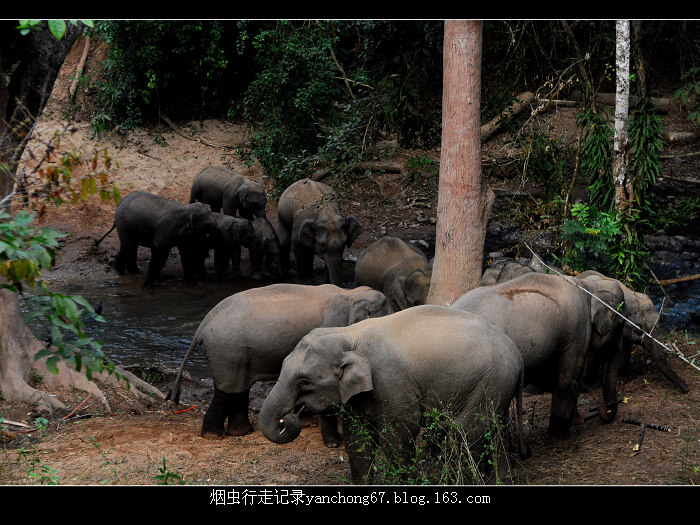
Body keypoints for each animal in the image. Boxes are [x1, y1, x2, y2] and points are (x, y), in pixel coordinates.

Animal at [165, 280, 394, 444]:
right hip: (227, 350)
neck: (351, 294)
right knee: (228, 389)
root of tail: (202, 326)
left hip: (234, 354)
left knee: (239, 388)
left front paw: (307, 422)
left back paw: (241, 432)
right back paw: (215, 436)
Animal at [260, 304, 528, 486]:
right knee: (496, 430)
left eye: (304, 381)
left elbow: (399, 433)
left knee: (467, 433)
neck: (349, 334)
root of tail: (516, 352)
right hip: (497, 384)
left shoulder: (390, 381)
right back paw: (501, 481)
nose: (289, 417)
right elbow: (357, 438)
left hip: (488, 380)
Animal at [452, 270, 628, 442]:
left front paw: (575, 422)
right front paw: (562, 437)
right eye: (621, 325)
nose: (601, 411)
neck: (587, 285)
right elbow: (566, 381)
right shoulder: (577, 331)